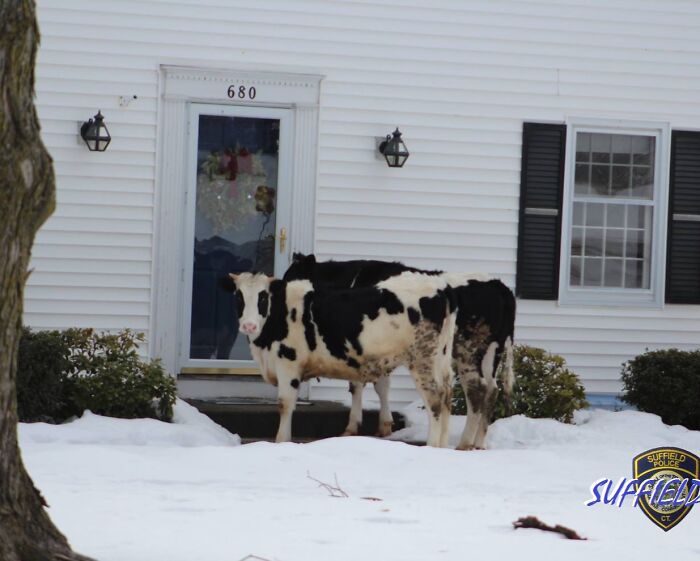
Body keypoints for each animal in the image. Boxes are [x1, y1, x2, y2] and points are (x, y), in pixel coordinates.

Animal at [225, 271, 457, 447]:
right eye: (239, 296)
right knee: (446, 394)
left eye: (263, 297)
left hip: (422, 361)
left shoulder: (288, 363)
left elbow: (285, 404)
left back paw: (431, 445)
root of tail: (439, 287)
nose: (249, 325)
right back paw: (442, 445)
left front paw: (282, 441)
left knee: (435, 400)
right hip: (441, 360)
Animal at [284, 253, 516, 450]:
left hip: (468, 350)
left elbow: (361, 385)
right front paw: (385, 424)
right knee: (492, 389)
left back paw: (464, 443)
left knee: (476, 388)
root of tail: (499, 285)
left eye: (290, 277)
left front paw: (352, 427)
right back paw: (478, 443)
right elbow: (382, 386)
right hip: (492, 352)